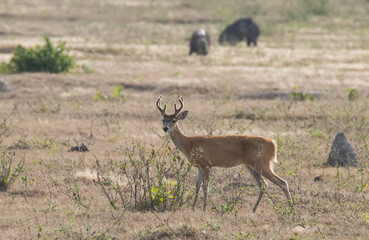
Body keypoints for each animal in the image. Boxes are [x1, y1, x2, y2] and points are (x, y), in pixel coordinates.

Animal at [155, 95, 294, 212]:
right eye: (163, 119)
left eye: (174, 120)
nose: (165, 128)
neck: (189, 143)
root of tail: (273, 144)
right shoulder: (199, 166)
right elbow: (197, 186)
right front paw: (193, 209)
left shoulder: (206, 164)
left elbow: (205, 187)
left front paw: (204, 209)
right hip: (252, 166)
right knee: (264, 185)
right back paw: (254, 210)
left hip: (262, 163)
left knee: (282, 182)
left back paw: (291, 209)